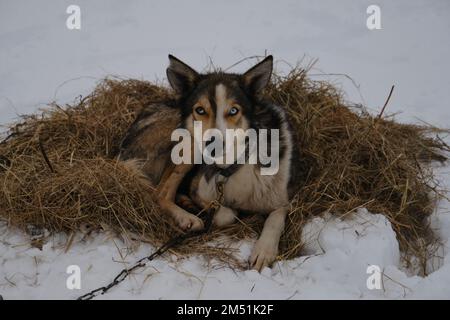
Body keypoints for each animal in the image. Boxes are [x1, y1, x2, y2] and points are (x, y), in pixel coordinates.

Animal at [121, 55, 300, 270]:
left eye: (234, 110)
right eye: (200, 110)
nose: (213, 145)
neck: (234, 165)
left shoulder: (284, 197)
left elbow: (275, 218)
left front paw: (264, 251)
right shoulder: (200, 187)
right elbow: (226, 214)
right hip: (188, 142)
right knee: (160, 193)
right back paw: (187, 217)